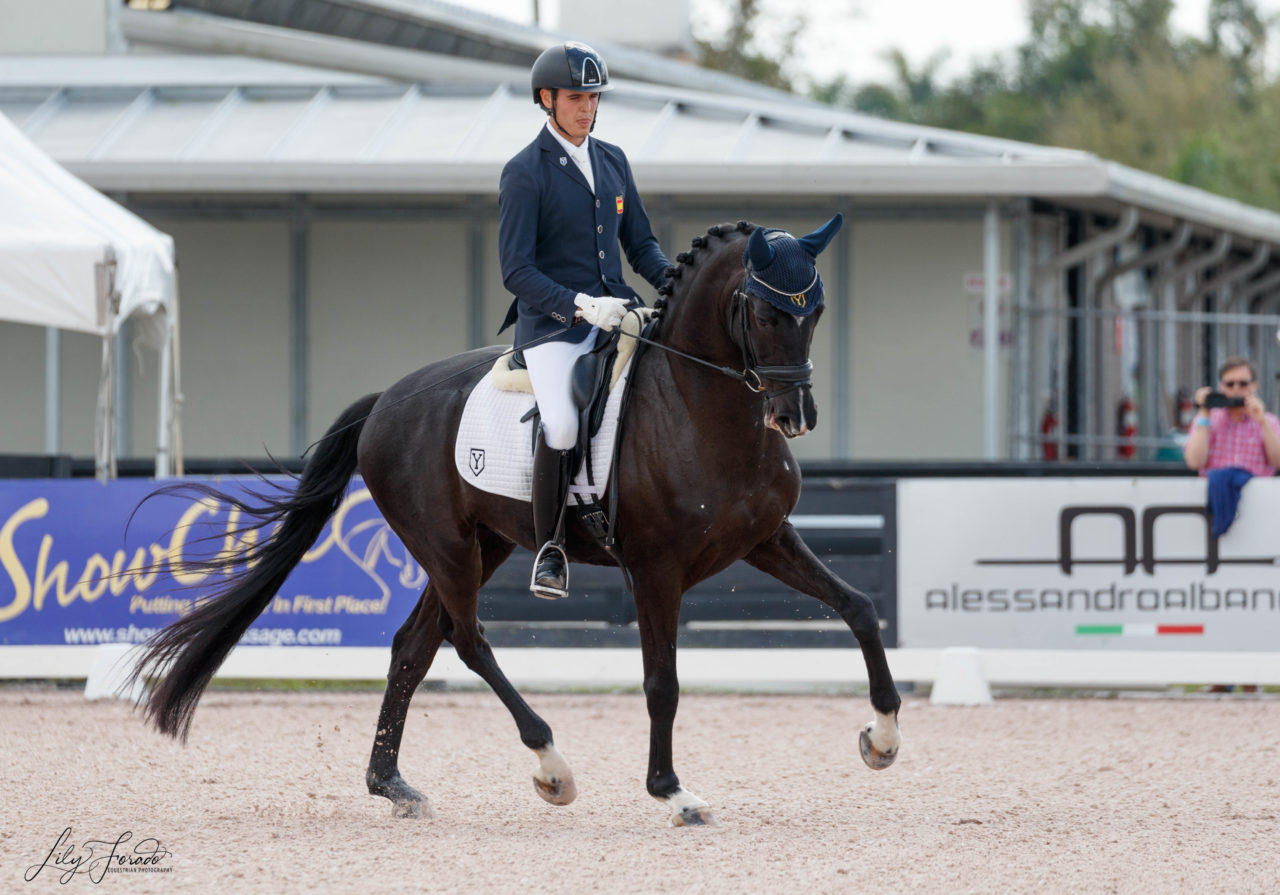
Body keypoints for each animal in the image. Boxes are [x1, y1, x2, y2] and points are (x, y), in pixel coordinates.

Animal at [132, 217, 901, 824]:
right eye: (764, 313)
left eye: (815, 311)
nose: (794, 416)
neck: (698, 406)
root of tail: (387, 400)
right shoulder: (655, 570)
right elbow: (661, 681)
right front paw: (671, 791)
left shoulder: (765, 539)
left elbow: (859, 607)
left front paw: (884, 736)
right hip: (446, 547)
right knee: (467, 641)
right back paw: (552, 765)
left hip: (488, 544)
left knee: (413, 646)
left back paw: (393, 785)